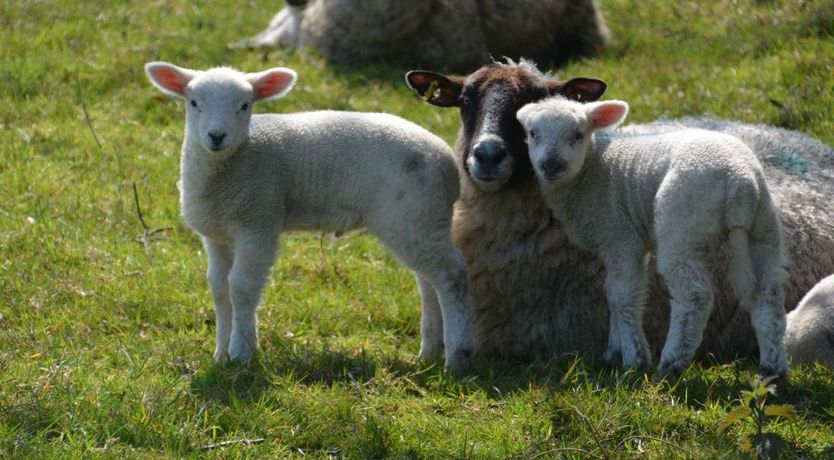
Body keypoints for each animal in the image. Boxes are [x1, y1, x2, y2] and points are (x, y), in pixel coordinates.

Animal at [143, 62, 474, 370]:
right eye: (193, 102)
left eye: (245, 105)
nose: (216, 136)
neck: (236, 161)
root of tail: (447, 164)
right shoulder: (217, 234)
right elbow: (219, 288)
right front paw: (221, 354)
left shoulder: (258, 220)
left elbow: (241, 287)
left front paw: (242, 353)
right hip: (422, 219)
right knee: (429, 281)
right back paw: (429, 352)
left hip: (412, 215)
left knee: (452, 275)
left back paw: (457, 356)